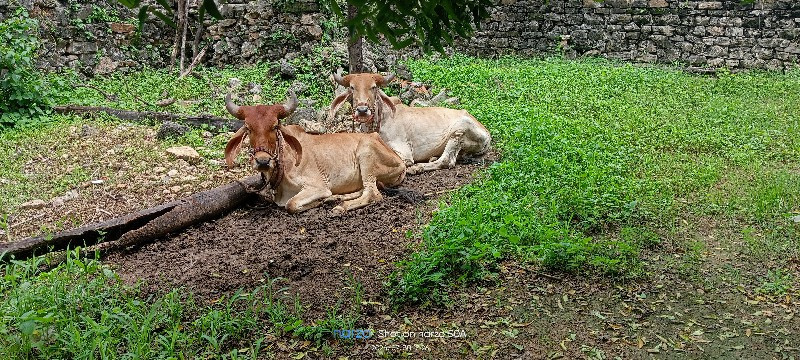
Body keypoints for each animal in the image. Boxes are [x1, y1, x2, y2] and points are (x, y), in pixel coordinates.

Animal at [225, 91, 406, 214]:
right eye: (248, 128)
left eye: (275, 126)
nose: (262, 161)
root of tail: (400, 161)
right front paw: (328, 199)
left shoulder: (317, 186)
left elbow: (291, 205)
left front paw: (320, 202)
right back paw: (337, 198)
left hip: (366, 153)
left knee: (373, 194)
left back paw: (340, 206)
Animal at [326, 71, 490, 174]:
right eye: (352, 87)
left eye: (374, 87)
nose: (362, 110)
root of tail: (487, 133)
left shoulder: (404, 152)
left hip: (460, 128)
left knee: (446, 161)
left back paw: (418, 168)